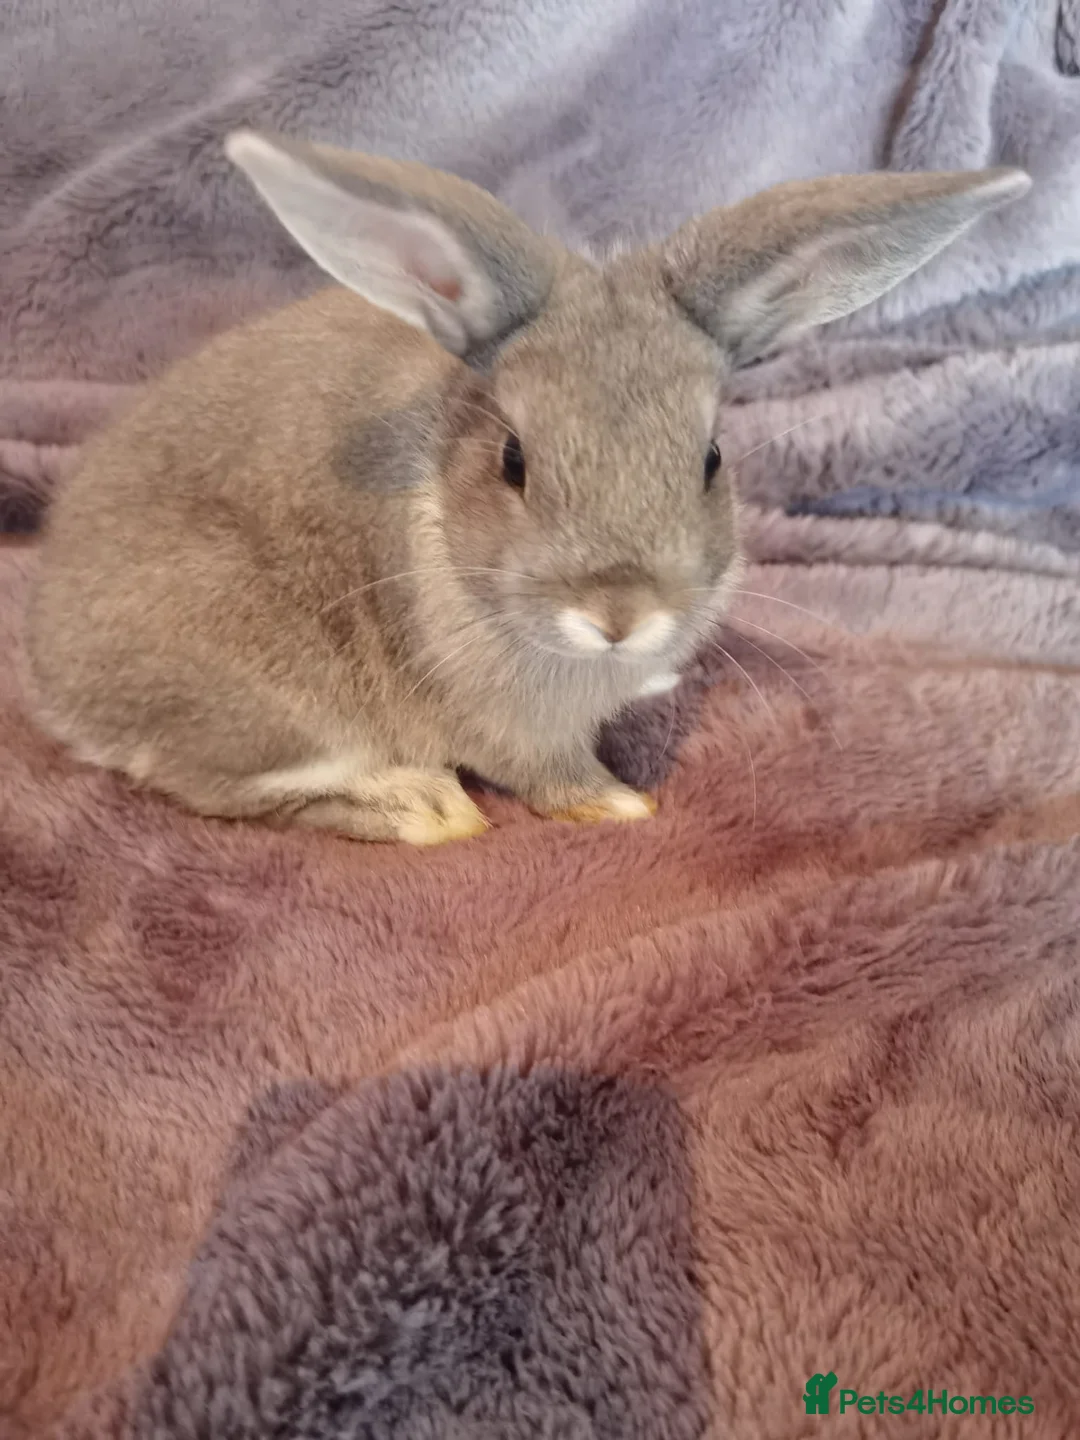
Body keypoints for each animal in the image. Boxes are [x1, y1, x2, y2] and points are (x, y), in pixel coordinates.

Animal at [24, 130, 1030, 845]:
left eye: (709, 457)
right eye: (514, 458)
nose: (622, 613)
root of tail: (54, 674)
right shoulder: (502, 722)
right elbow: (546, 774)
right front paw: (619, 806)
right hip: (262, 682)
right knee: (222, 785)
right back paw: (423, 811)